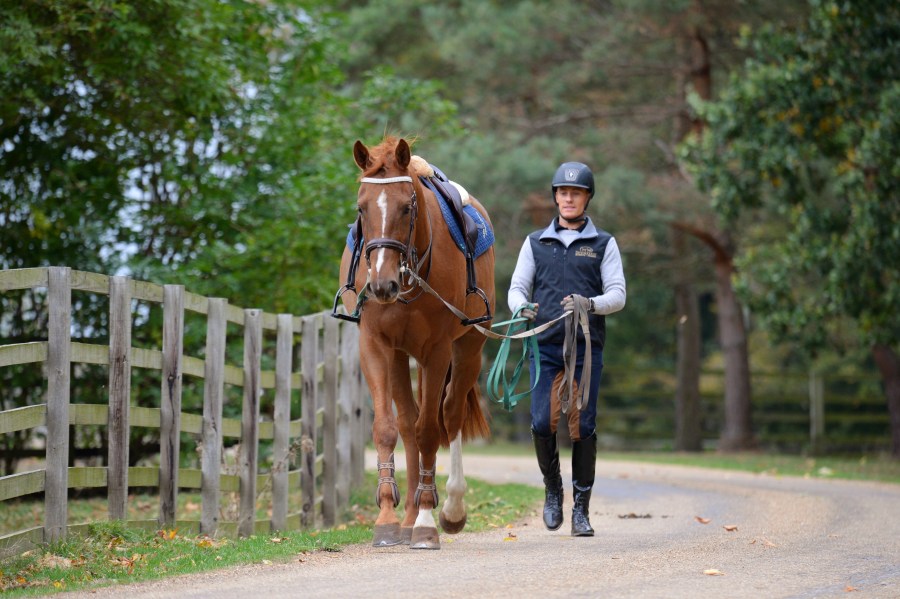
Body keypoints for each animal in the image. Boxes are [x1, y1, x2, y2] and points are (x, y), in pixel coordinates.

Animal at [336, 138, 492, 552]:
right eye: (361, 208)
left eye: (407, 207)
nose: (381, 284)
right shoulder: (375, 346)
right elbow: (388, 429)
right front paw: (389, 519)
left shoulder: (437, 351)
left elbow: (429, 432)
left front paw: (425, 522)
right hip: (402, 357)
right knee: (408, 423)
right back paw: (405, 518)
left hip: (468, 350)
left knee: (449, 417)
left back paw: (449, 508)